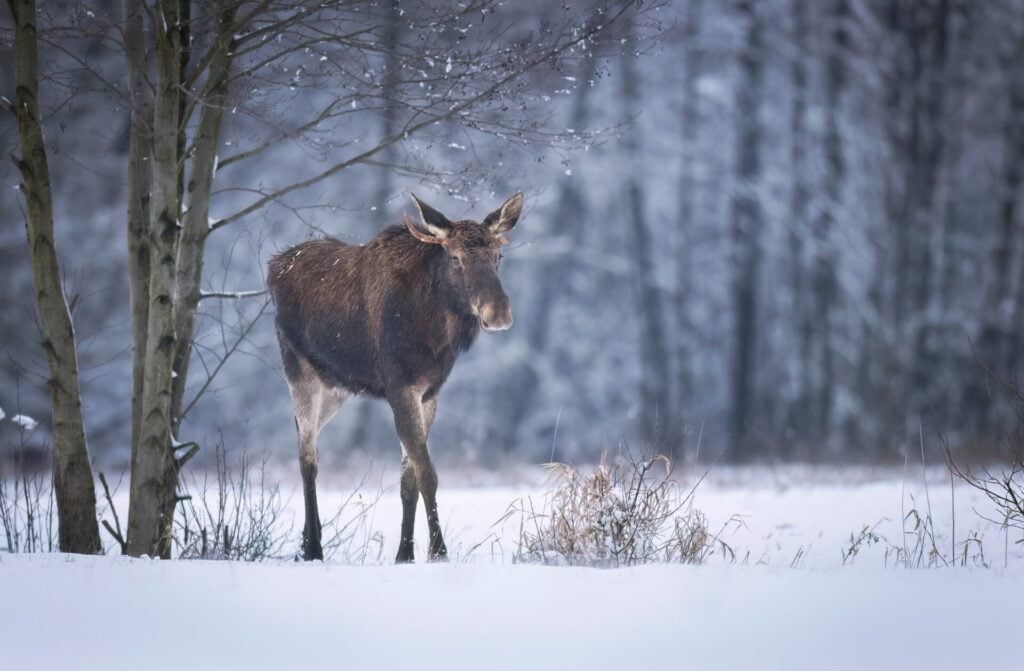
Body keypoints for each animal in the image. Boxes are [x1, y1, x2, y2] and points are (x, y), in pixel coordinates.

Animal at [267, 192, 524, 562]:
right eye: (456, 258)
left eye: (498, 256)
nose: (498, 313)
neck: (436, 329)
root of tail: (274, 266)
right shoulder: (400, 387)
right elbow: (428, 474)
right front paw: (438, 551)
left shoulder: (428, 393)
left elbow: (409, 481)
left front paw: (405, 553)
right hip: (299, 371)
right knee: (307, 458)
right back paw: (314, 547)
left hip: (337, 389)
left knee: (305, 437)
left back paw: (305, 541)